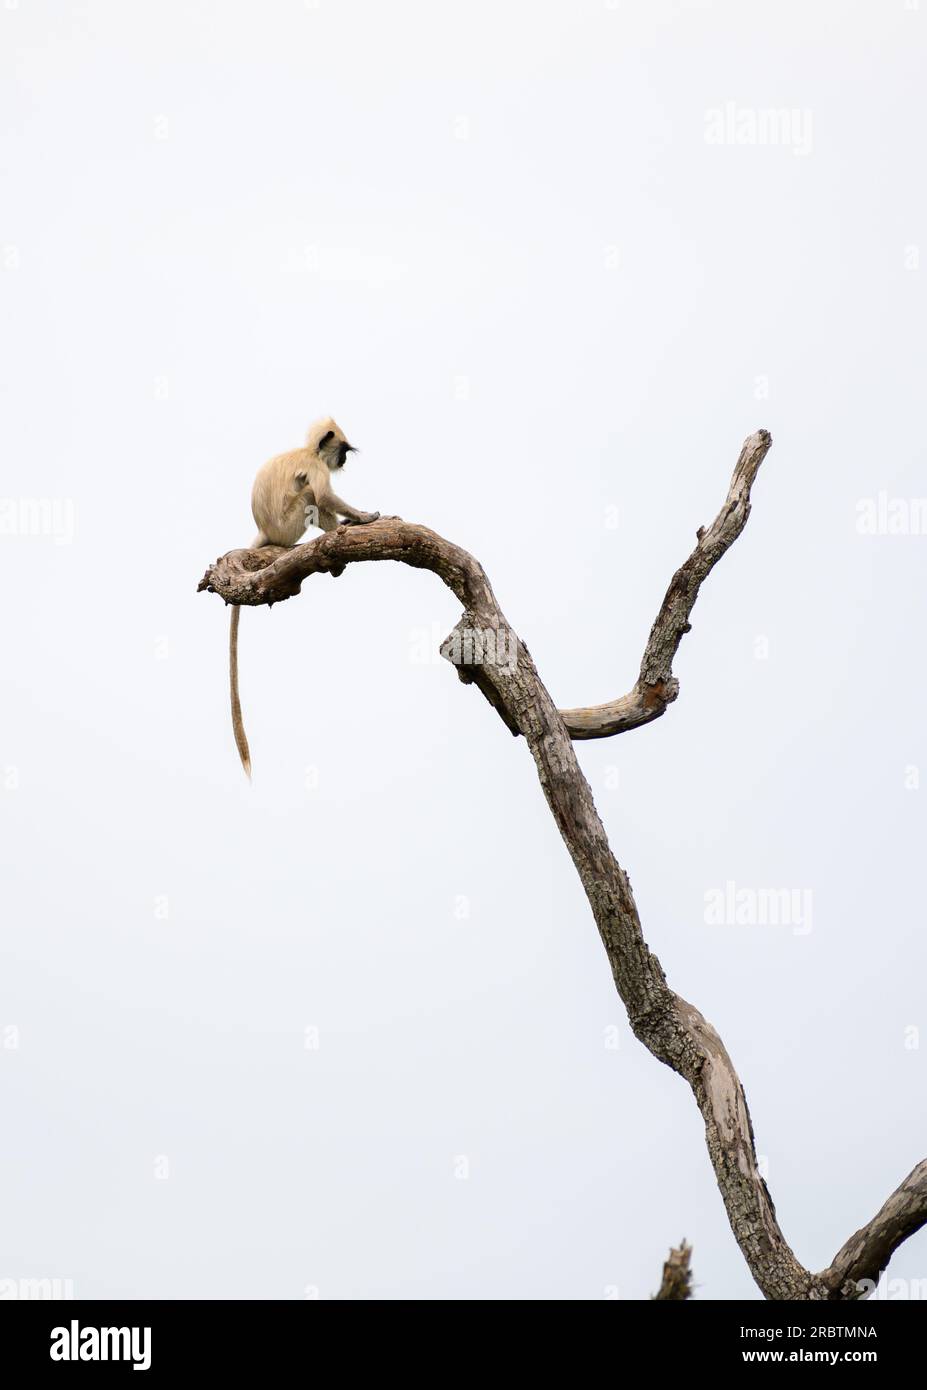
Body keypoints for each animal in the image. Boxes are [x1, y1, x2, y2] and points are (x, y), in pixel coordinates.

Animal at [230, 417, 378, 778]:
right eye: (342, 450)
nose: (344, 460)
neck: (307, 450)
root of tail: (268, 532)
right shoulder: (315, 466)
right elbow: (323, 493)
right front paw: (364, 518)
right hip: (291, 523)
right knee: (311, 494)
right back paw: (335, 533)